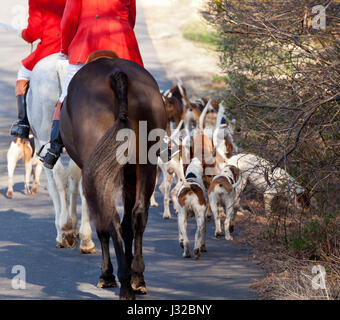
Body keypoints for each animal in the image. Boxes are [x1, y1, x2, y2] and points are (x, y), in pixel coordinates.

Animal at [26, 52, 95, 252]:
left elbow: (55, 186)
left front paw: (64, 230)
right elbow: (74, 183)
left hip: (44, 139)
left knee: (57, 179)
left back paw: (65, 229)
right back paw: (85, 238)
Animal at [61, 56, 169, 298]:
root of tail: (116, 73)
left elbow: (104, 224)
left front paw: (107, 275)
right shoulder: (129, 174)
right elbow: (128, 223)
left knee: (109, 216)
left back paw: (123, 282)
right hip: (146, 163)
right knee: (138, 214)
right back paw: (136, 277)